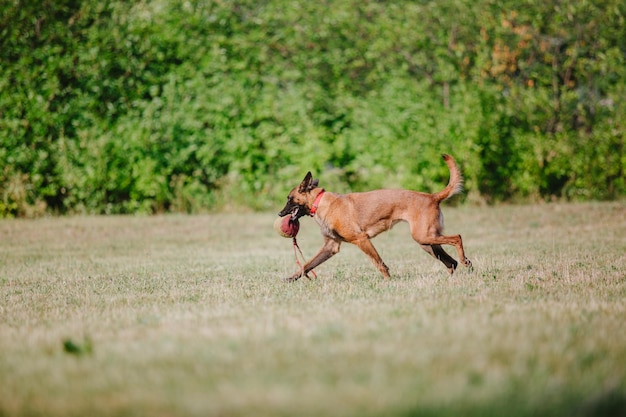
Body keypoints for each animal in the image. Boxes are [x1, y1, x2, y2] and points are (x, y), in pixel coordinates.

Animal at [276, 154, 470, 282]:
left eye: (289, 199)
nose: (279, 214)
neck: (320, 201)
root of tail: (432, 197)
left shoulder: (361, 239)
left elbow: (379, 263)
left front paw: (388, 281)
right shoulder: (330, 247)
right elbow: (307, 265)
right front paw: (291, 279)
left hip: (424, 237)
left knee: (457, 238)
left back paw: (465, 261)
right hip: (427, 242)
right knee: (451, 262)